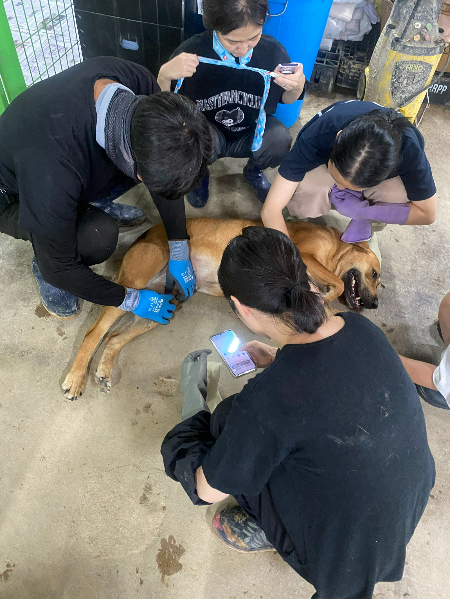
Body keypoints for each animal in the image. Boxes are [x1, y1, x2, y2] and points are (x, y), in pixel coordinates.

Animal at [62, 218, 380, 400]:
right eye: (376, 274)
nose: (375, 304)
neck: (336, 246)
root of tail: (145, 234)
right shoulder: (306, 257)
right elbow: (336, 284)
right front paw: (325, 298)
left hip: (164, 306)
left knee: (114, 337)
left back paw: (104, 369)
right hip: (134, 284)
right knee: (93, 333)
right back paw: (76, 378)